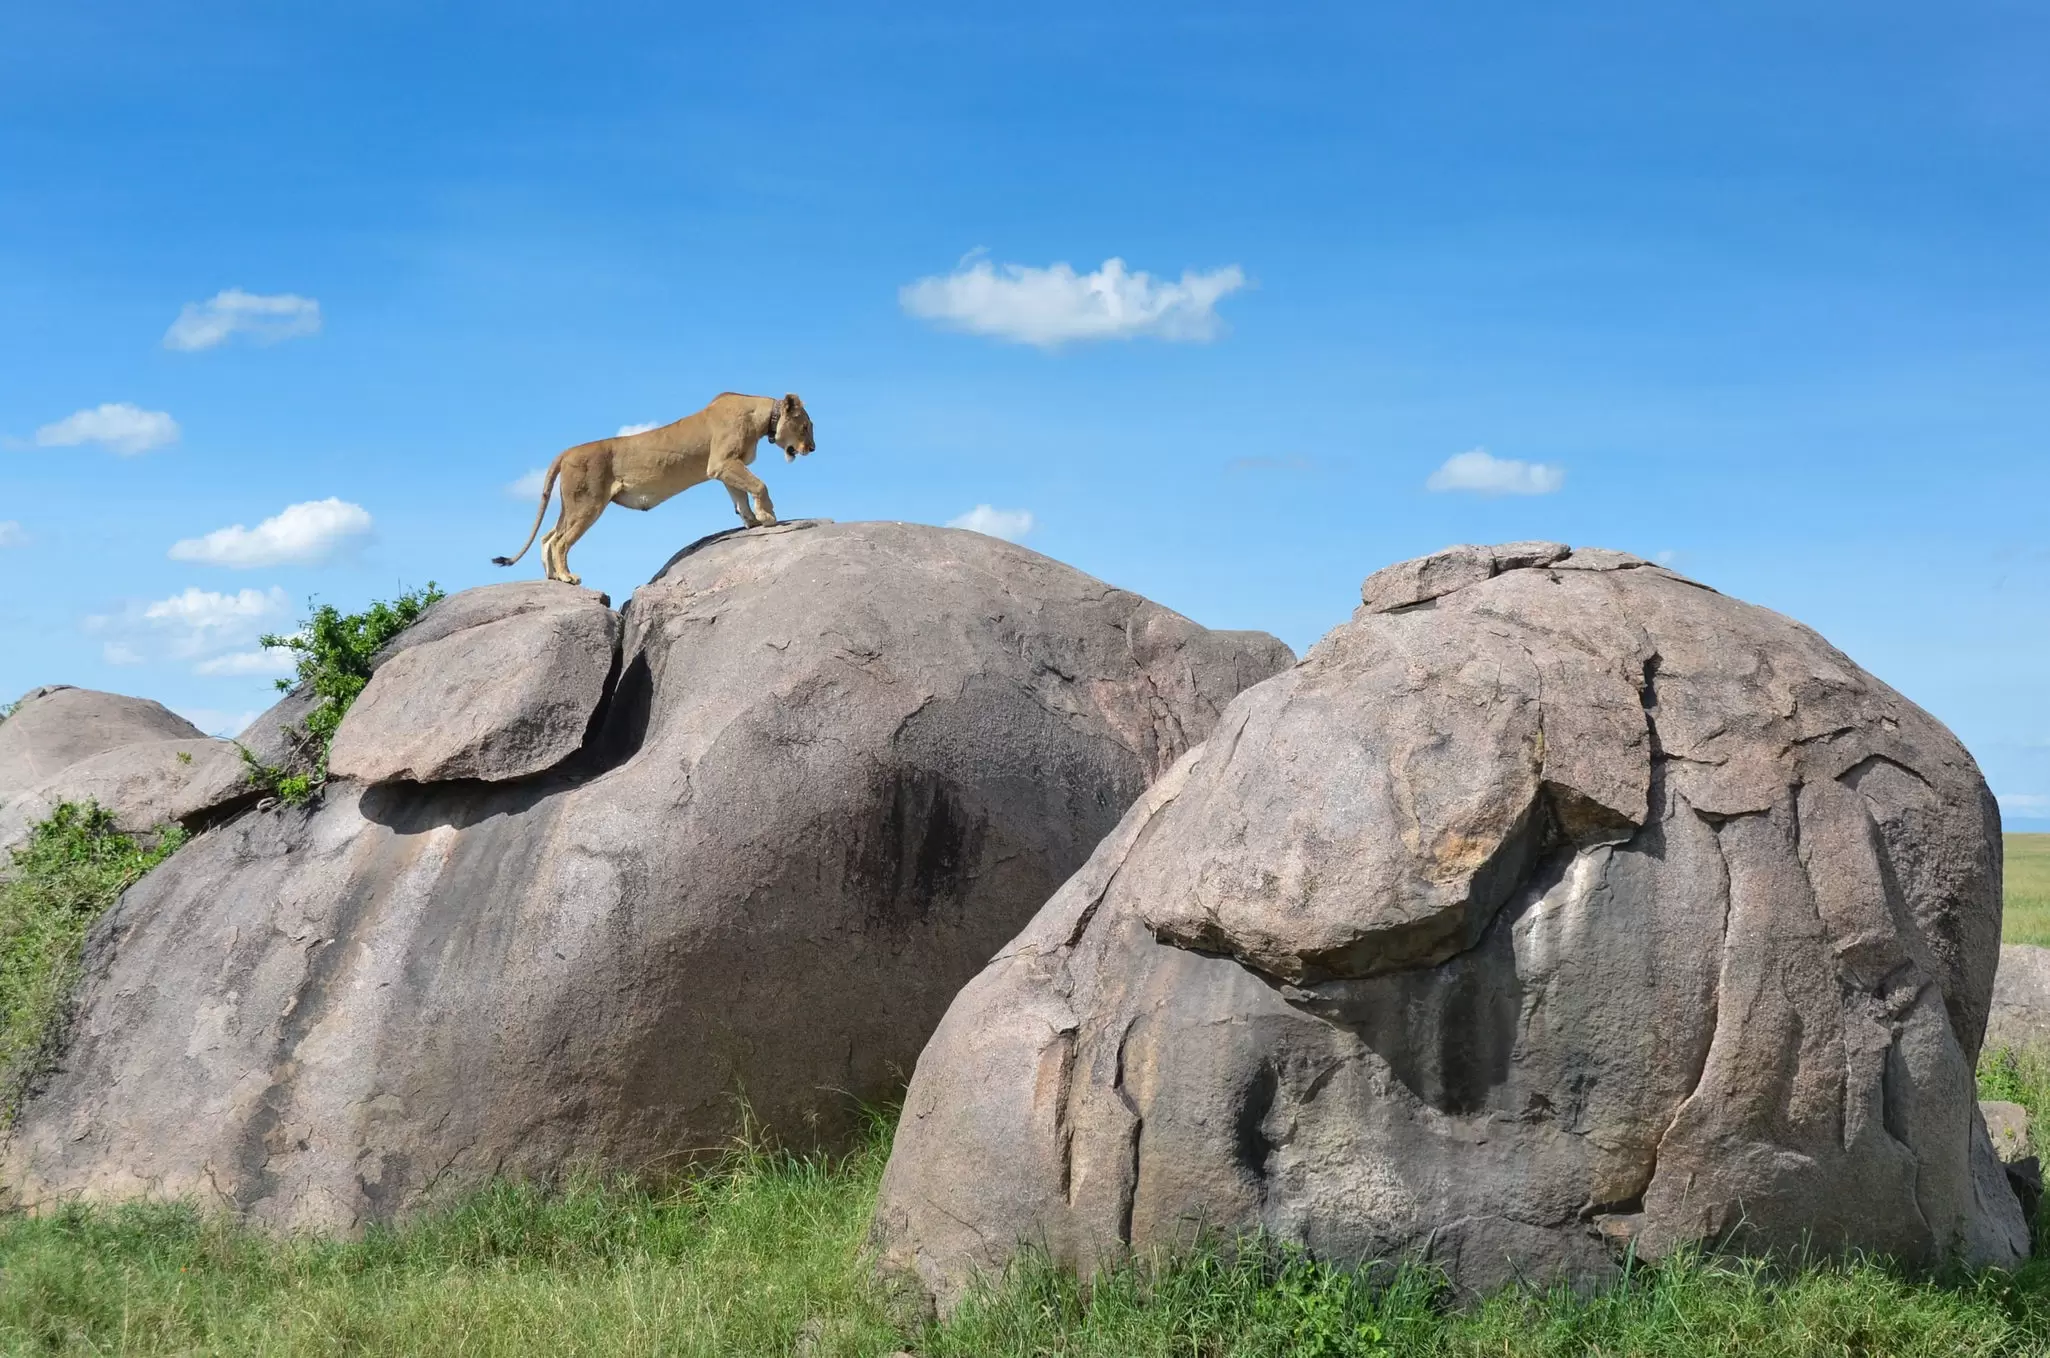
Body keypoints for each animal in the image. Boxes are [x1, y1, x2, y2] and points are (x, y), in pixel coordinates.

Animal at [493, 392, 817, 585]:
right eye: (806, 427)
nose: (812, 449)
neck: (761, 417)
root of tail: (566, 451)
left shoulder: (725, 468)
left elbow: (739, 496)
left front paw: (751, 521)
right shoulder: (722, 462)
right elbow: (759, 484)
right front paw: (768, 516)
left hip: (571, 503)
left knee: (548, 536)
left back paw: (551, 577)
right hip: (588, 502)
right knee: (560, 541)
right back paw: (567, 577)